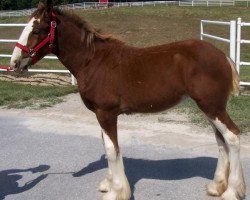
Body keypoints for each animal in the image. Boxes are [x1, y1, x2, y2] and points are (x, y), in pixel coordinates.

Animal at [10, 0, 246, 199]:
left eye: (36, 30)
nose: (14, 63)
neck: (93, 61)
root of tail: (222, 56)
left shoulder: (106, 113)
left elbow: (111, 149)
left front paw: (116, 192)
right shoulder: (101, 115)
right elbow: (106, 145)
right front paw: (109, 184)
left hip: (212, 107)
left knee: (232, 137)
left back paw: (231, 191)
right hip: (210, 108)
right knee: (221, 141)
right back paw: (216, 186)